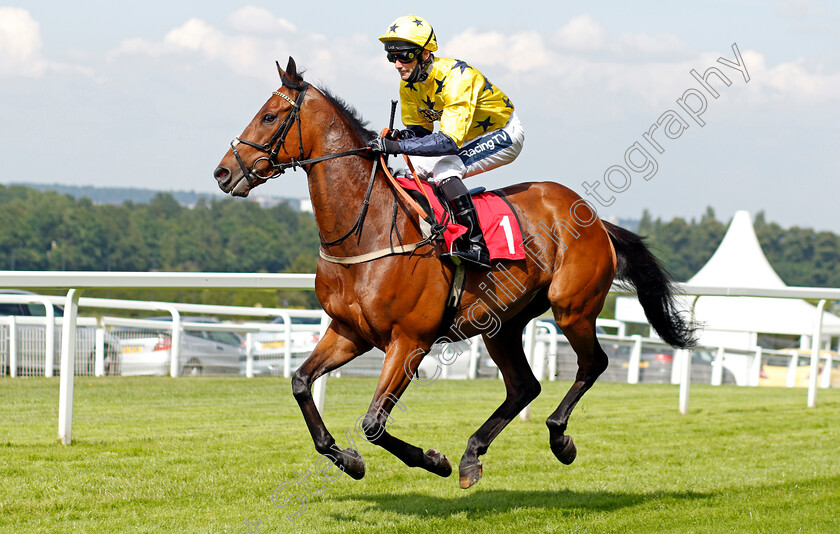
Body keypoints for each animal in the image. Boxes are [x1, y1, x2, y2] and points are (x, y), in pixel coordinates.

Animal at [213, 57, 692, 490]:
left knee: (593, 364)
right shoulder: (350, 331)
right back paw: (472, 455)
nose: (223, 172)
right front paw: (347, 459)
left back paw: (558, 438)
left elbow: (373, 423)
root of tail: (595, 219)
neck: (366, 231)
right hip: (502, 323)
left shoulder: (410, 341)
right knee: (524, 387)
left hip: (572, 307)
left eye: (269, 116)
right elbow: (300, 383)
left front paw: (431, 460)